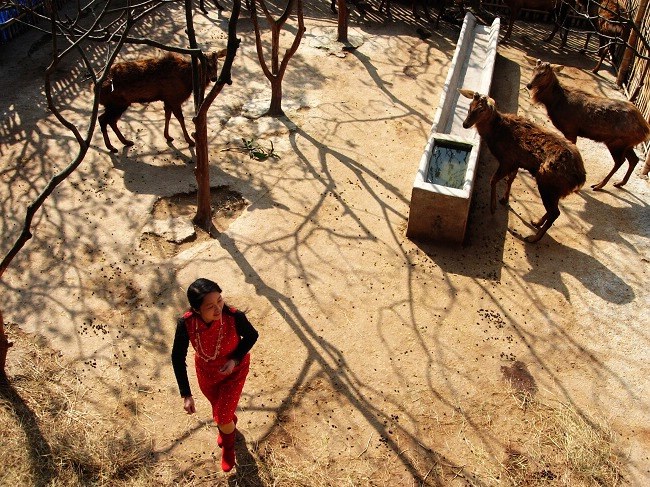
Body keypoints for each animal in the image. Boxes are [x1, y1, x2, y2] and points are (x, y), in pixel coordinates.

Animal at [97, 50, 227, 152]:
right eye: (206, 65)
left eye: (216, 63)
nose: (214, 78)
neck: (188, 80)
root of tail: (96, 89)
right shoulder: (174, 98)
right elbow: (180, 118)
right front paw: (190, 141)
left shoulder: (167, 99)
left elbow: (167, 116)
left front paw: (168, 136)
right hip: (117, 103)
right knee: (103, 119)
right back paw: (112, 147)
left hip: (117, 104)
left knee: (109, 120)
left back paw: (125, 142)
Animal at [456, 89, 584, 242]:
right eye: (470, 105)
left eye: (481, 109)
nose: (465, 124)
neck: (496, 133)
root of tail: (580, 178)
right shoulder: (516, 162)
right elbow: (510, 179)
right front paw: (504, 199)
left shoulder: (508, 159)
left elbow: (493, 180)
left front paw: (493, 207)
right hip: (554, 189)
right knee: (553, 210)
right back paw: (536, 222)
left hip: (548, 183)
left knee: (555, 212)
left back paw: (533, 238)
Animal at [524, 58, 644, 191]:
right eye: (534, 69)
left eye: (544, 73)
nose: (529, 85)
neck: (556, 103)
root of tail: (645, 130)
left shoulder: (571, 129)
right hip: (627, 144)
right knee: (634, 159)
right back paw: (619, 183)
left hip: (617, 143)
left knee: (620, 161)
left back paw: (598, 185)